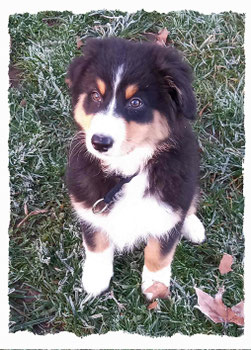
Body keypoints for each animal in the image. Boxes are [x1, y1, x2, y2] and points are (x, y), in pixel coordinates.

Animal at [66, 37, 206, 300]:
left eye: (136, 102)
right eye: (95, 96)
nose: (99, 142)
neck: (128, 167)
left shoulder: (169, 203)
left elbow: (160, 251)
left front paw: (155, 286)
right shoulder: (89, 203)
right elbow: (96, 240)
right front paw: (96, 278)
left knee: (189, 203)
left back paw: (193, 227)